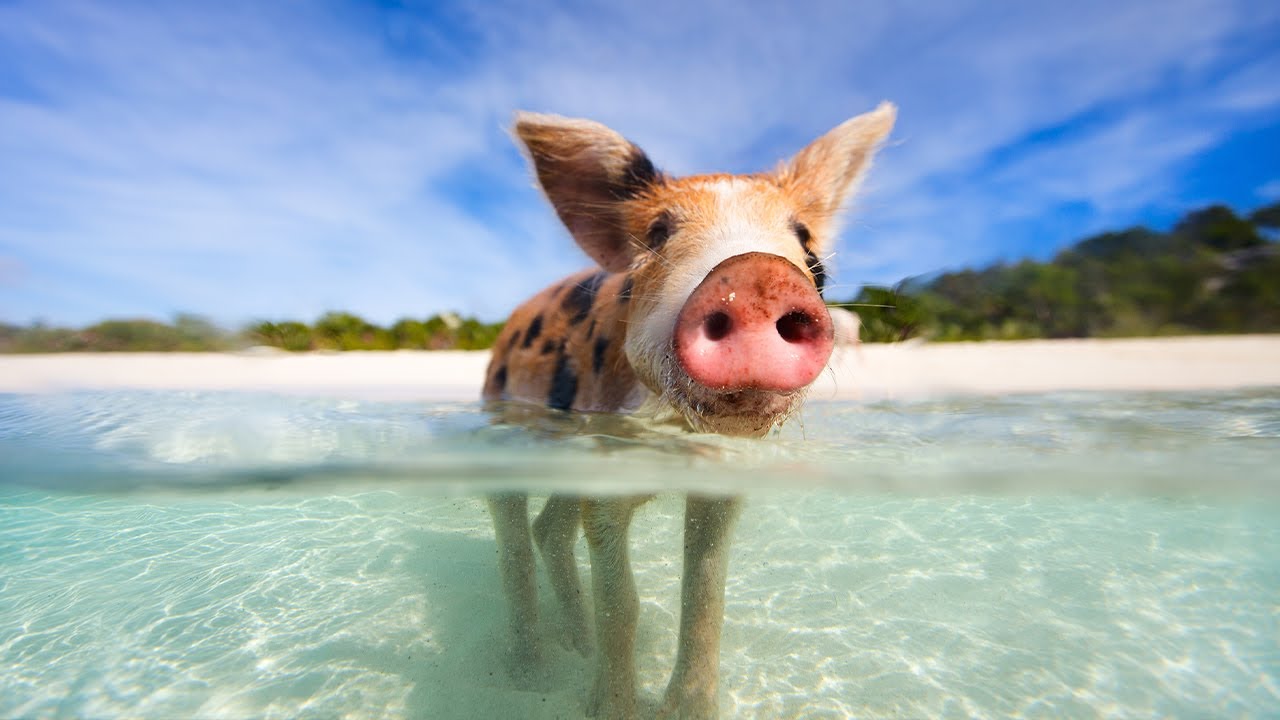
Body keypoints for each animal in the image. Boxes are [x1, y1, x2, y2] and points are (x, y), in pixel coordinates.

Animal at [483, 103, 896, 719]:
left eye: (807, 246)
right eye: (658, 233)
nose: (756, 275)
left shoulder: (721, 481)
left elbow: (704, 598)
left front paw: (686, 709)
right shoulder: (605, 471)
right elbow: (623, 605)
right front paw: (612, 709)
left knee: (549, 530)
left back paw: (576, 645)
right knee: (514, 539)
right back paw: (531, 676)